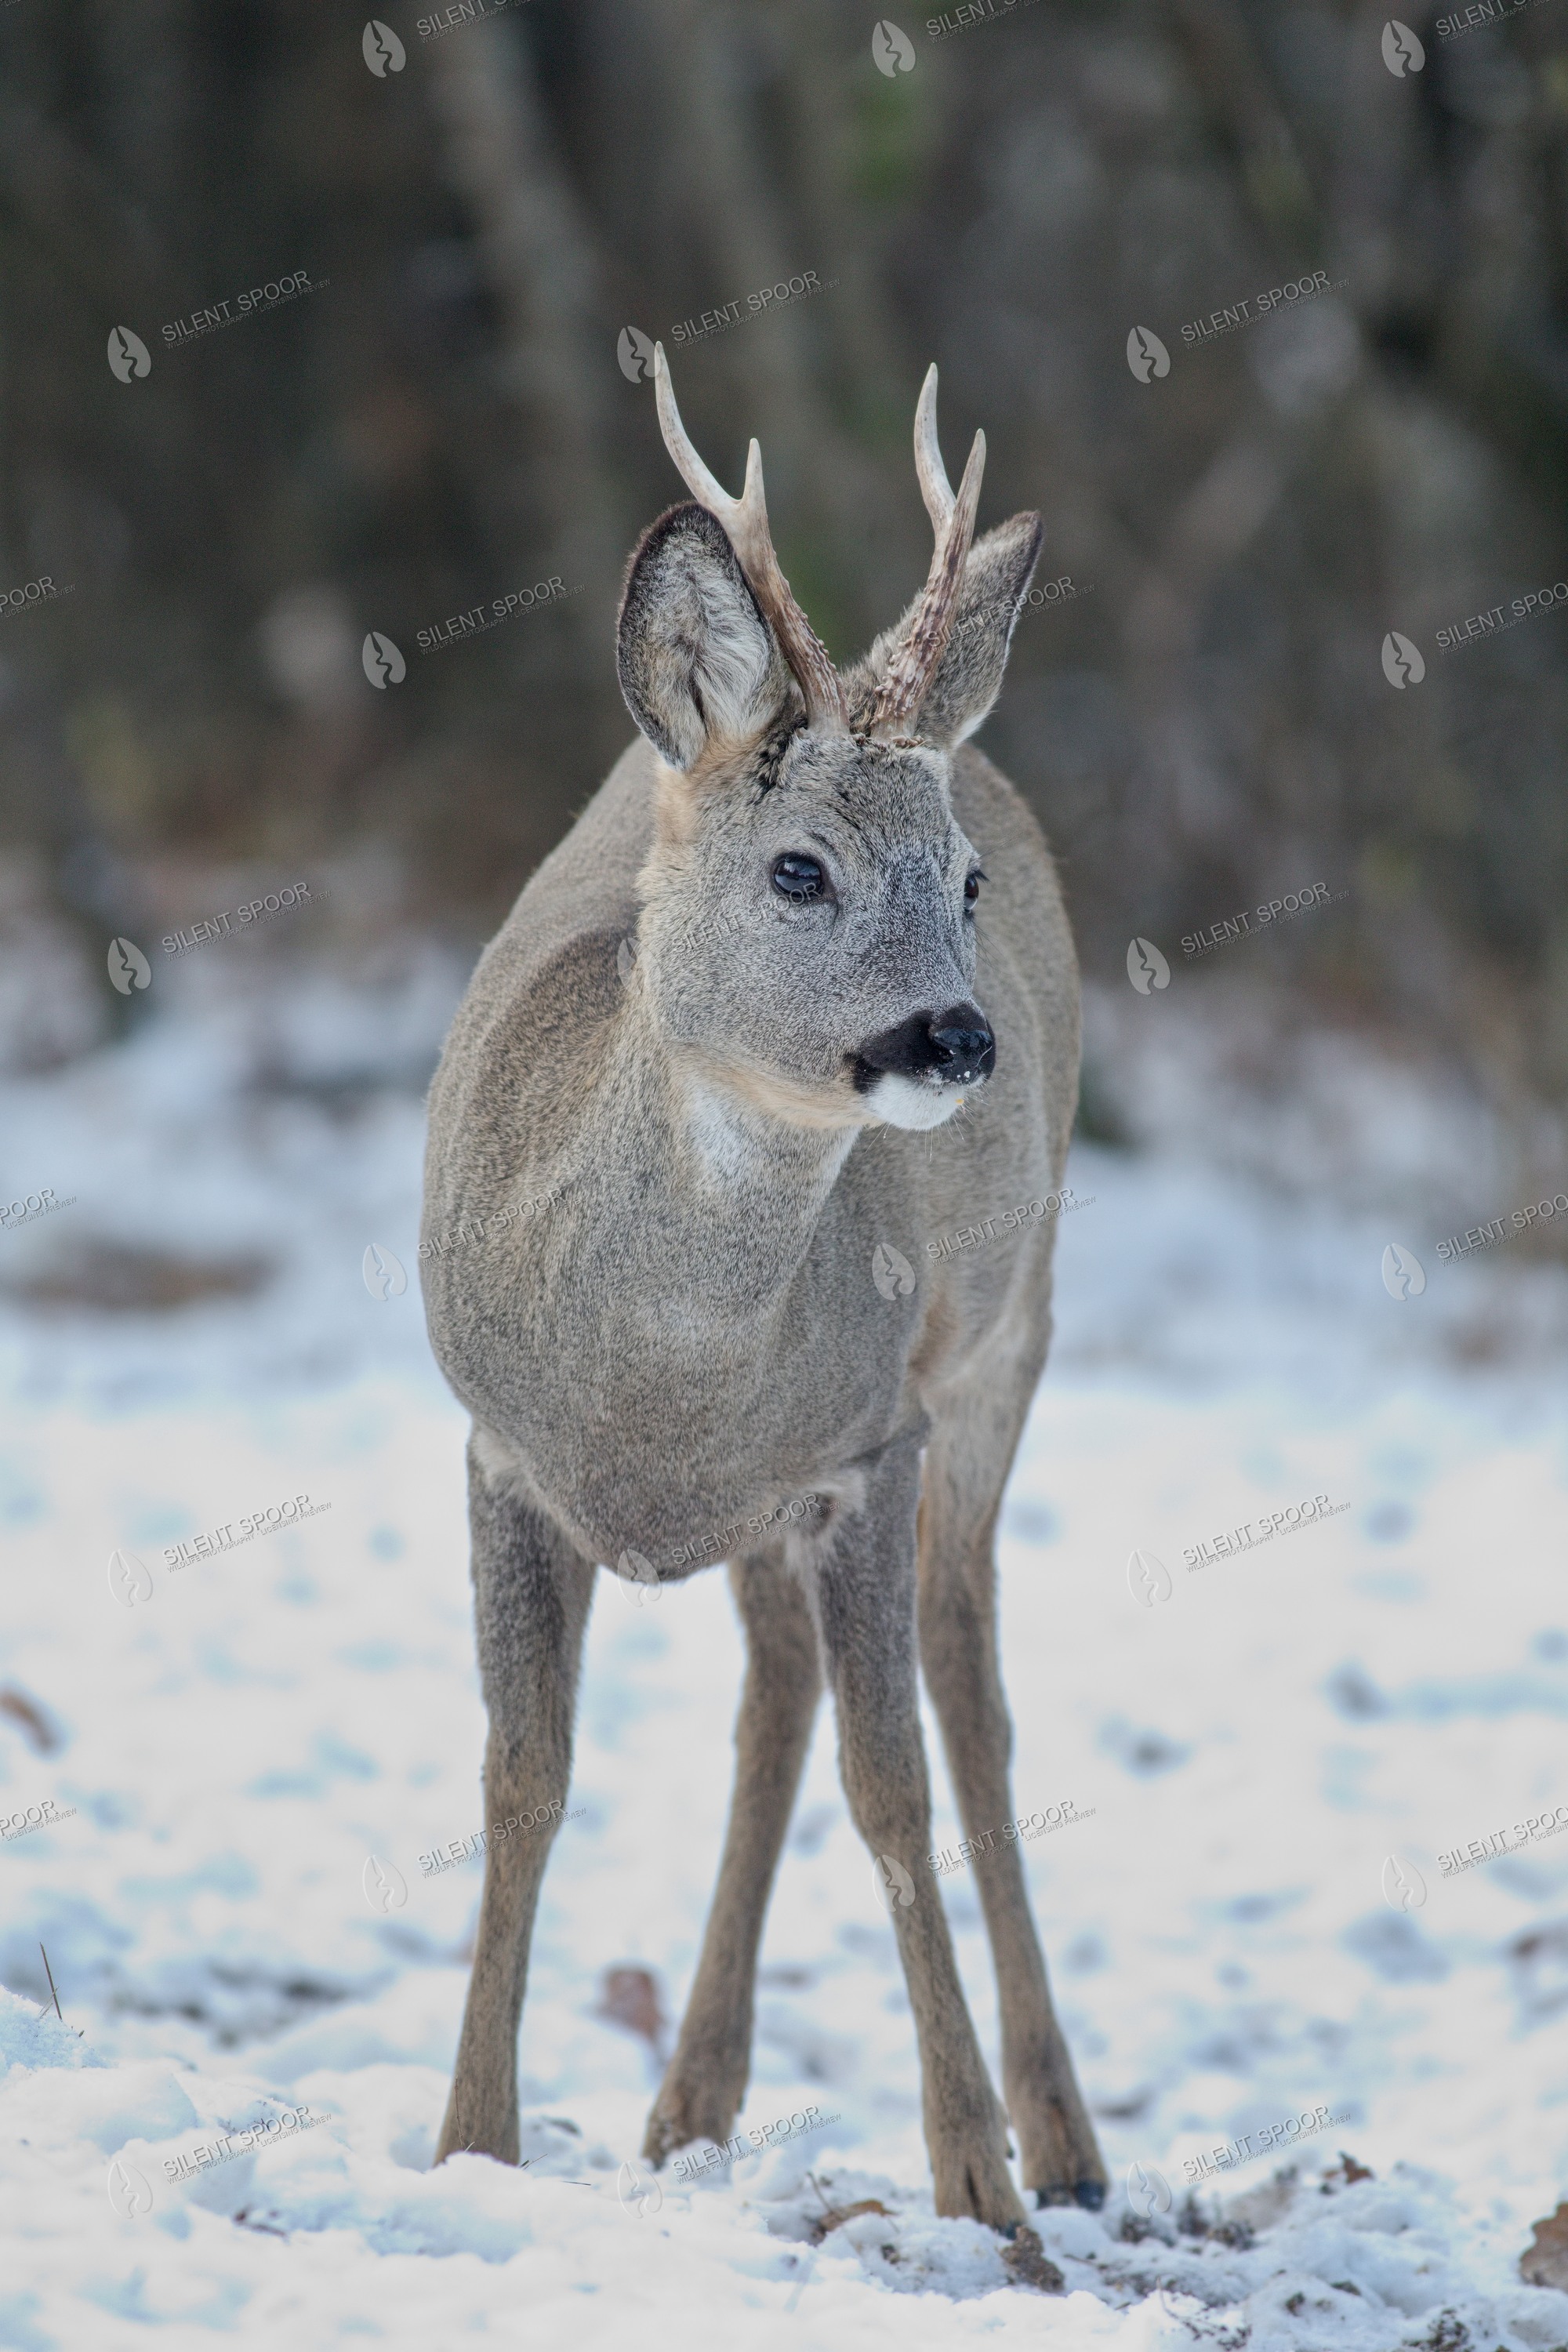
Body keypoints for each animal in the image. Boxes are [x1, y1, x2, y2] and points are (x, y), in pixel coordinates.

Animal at [420, 347, 1106, 2233]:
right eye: (800, 868)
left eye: (959, 883)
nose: (957, 1036)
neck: (651, 1384)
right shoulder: (496, 1449)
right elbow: (525, 1778)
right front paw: (469, 2142)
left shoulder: (864, 1447)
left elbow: (897, 1792)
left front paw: (978, 2188)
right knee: (775, 1700)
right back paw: (690, 2101)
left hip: (1007, 1342)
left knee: (968, 1689)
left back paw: (1064, 2140)